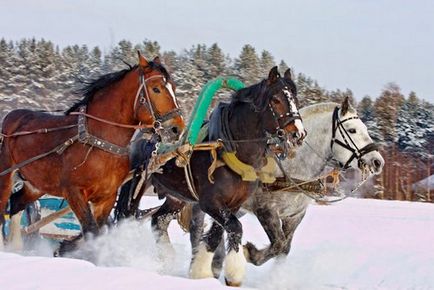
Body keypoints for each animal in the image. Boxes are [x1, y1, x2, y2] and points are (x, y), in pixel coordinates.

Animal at [0, 52, 185, 254]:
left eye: (174, 87)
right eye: (156, 89)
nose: (177, 128)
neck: (98, 142)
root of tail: (10, 118)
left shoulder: (106, 197)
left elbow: (99, 232)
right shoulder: (74, 192)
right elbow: (91, 231)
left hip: (35, 184)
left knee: (16, 203)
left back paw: (15, 247)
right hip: (7, 175)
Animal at [116, 65, 306, 286]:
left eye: (295, 99)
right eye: (275, 100)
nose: (298, 134)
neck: (230, 149)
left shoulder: (232, 205)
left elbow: (216, 235)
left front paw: (201, 271)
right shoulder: (210, 202)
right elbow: (235, 227)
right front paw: (232, 273)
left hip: (177, 196)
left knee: (159, 220)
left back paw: (166, 258)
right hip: (136, 184)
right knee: (126, 215)